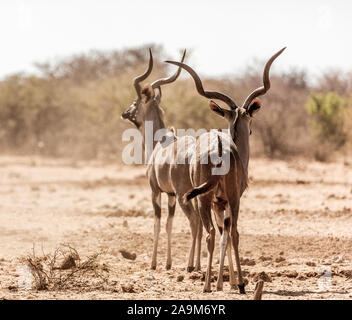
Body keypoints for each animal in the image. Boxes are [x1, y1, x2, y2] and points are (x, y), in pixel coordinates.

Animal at [121, 48, 202, 272]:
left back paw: (190, 266)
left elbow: (157, 223)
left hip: (185, 196)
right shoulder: (171, 195)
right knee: (204, 223)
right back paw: (198, 265)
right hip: (197, 196)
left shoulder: (156, 191)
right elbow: (169, 224)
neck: (160, 142)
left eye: (135, 101)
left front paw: (154, 263)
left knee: (195, 221)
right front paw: (168, 263)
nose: (124, 113)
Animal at [167, 47, 286, 292]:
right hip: (228, 199)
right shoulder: (230, 200)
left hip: (204, 199)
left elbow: (222, 235)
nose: (250, 130)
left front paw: (222, 282)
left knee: (213, 233)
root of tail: (219, 148)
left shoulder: (218, 203)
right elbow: (229, 236)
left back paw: (207, 284)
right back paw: (237, 283)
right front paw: (231, 282)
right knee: (231, 233)